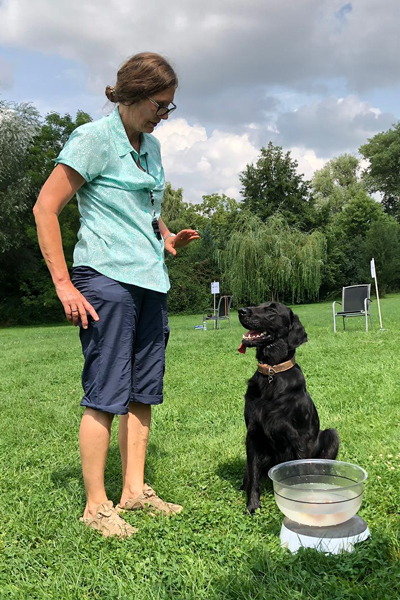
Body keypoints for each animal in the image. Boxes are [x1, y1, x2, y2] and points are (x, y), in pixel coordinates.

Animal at [238, 301, 339, 514]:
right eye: (259, 304)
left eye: (272, 310)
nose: (241, 311)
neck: (272, 374)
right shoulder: (252, 434)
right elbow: (253, 475)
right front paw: (252, 505)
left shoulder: (301, 438)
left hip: (332, 434)